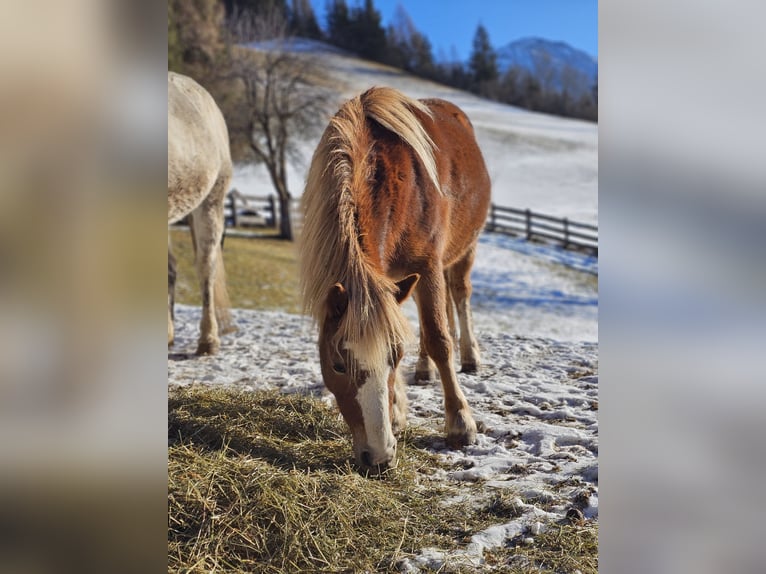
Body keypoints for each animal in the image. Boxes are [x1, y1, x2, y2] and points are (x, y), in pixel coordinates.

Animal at [300, 85, 492, 472]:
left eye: (394, 358)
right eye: (338, 364)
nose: (379, 457)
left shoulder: (429, 265)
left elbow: (439, 338)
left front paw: (461, 423)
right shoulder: (390, 280)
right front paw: (399, 412)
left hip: (463, 252)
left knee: (458, 298)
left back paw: (469, 356)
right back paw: (424, 371)